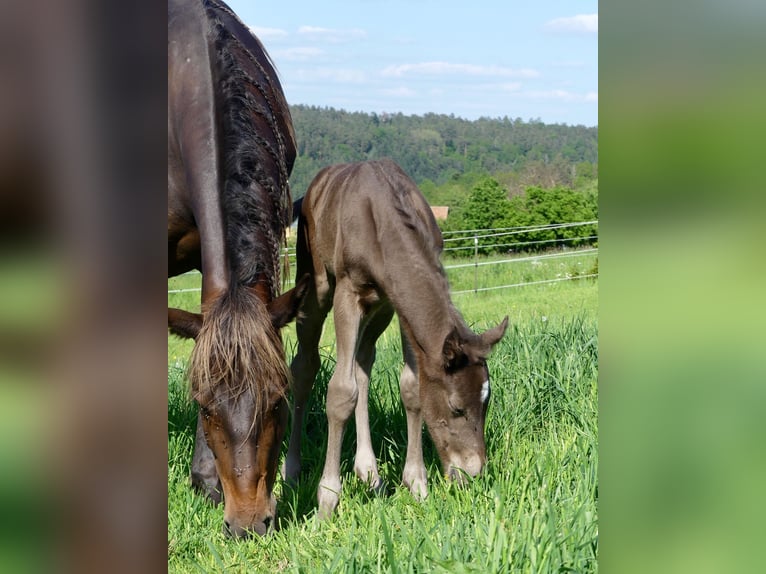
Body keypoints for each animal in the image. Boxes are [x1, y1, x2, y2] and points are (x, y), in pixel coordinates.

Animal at [288, 160, 510, 520]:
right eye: (457, 408)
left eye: (486, 402)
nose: (472, 472)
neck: (383, 221)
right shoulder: (347, 291)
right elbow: (340, 392)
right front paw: (327, 501)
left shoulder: (399, 304)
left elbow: (411, 387)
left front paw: (417, 484)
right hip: (317, 287)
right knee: (305, 366)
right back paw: (292, 471)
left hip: (379, 307)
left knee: (362, 362)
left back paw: (369, 472)